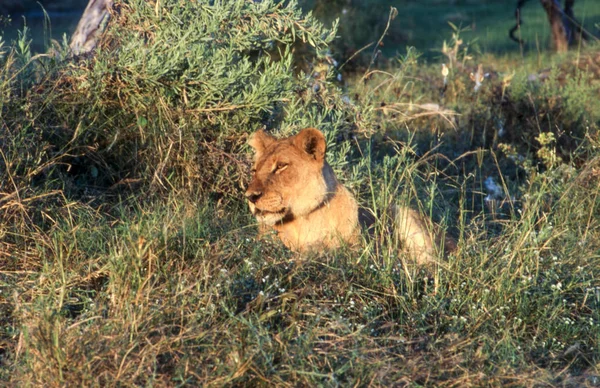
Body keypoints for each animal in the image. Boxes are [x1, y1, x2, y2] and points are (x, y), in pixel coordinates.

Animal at [245, 127, 450, 264]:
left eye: (281, 166)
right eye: (254, 170)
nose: (250, 196)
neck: (305, 220)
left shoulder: (355, 253)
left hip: (404, 214)